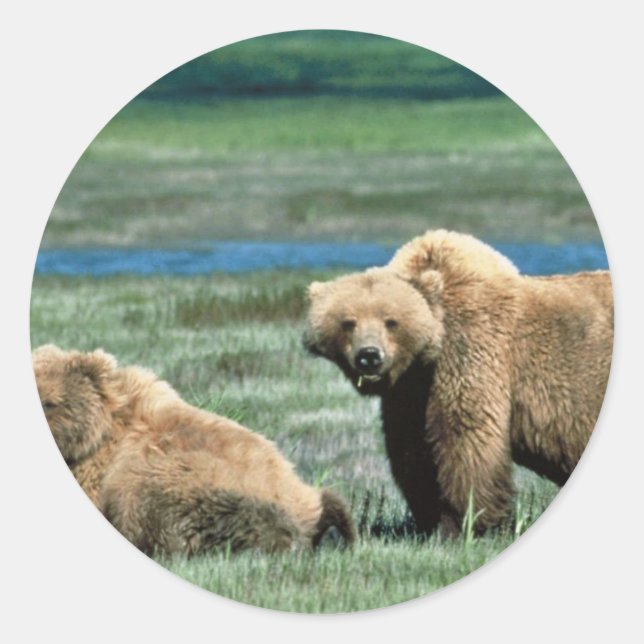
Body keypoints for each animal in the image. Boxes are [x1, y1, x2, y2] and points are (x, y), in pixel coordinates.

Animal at [303, 229, 613, 537]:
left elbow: (465, 437)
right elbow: (412, 450)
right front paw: (429, 519)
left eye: (391, 321)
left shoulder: (472, 350)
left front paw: (466, 523)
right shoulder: (410, 389)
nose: (369, 356)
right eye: (348, 322)